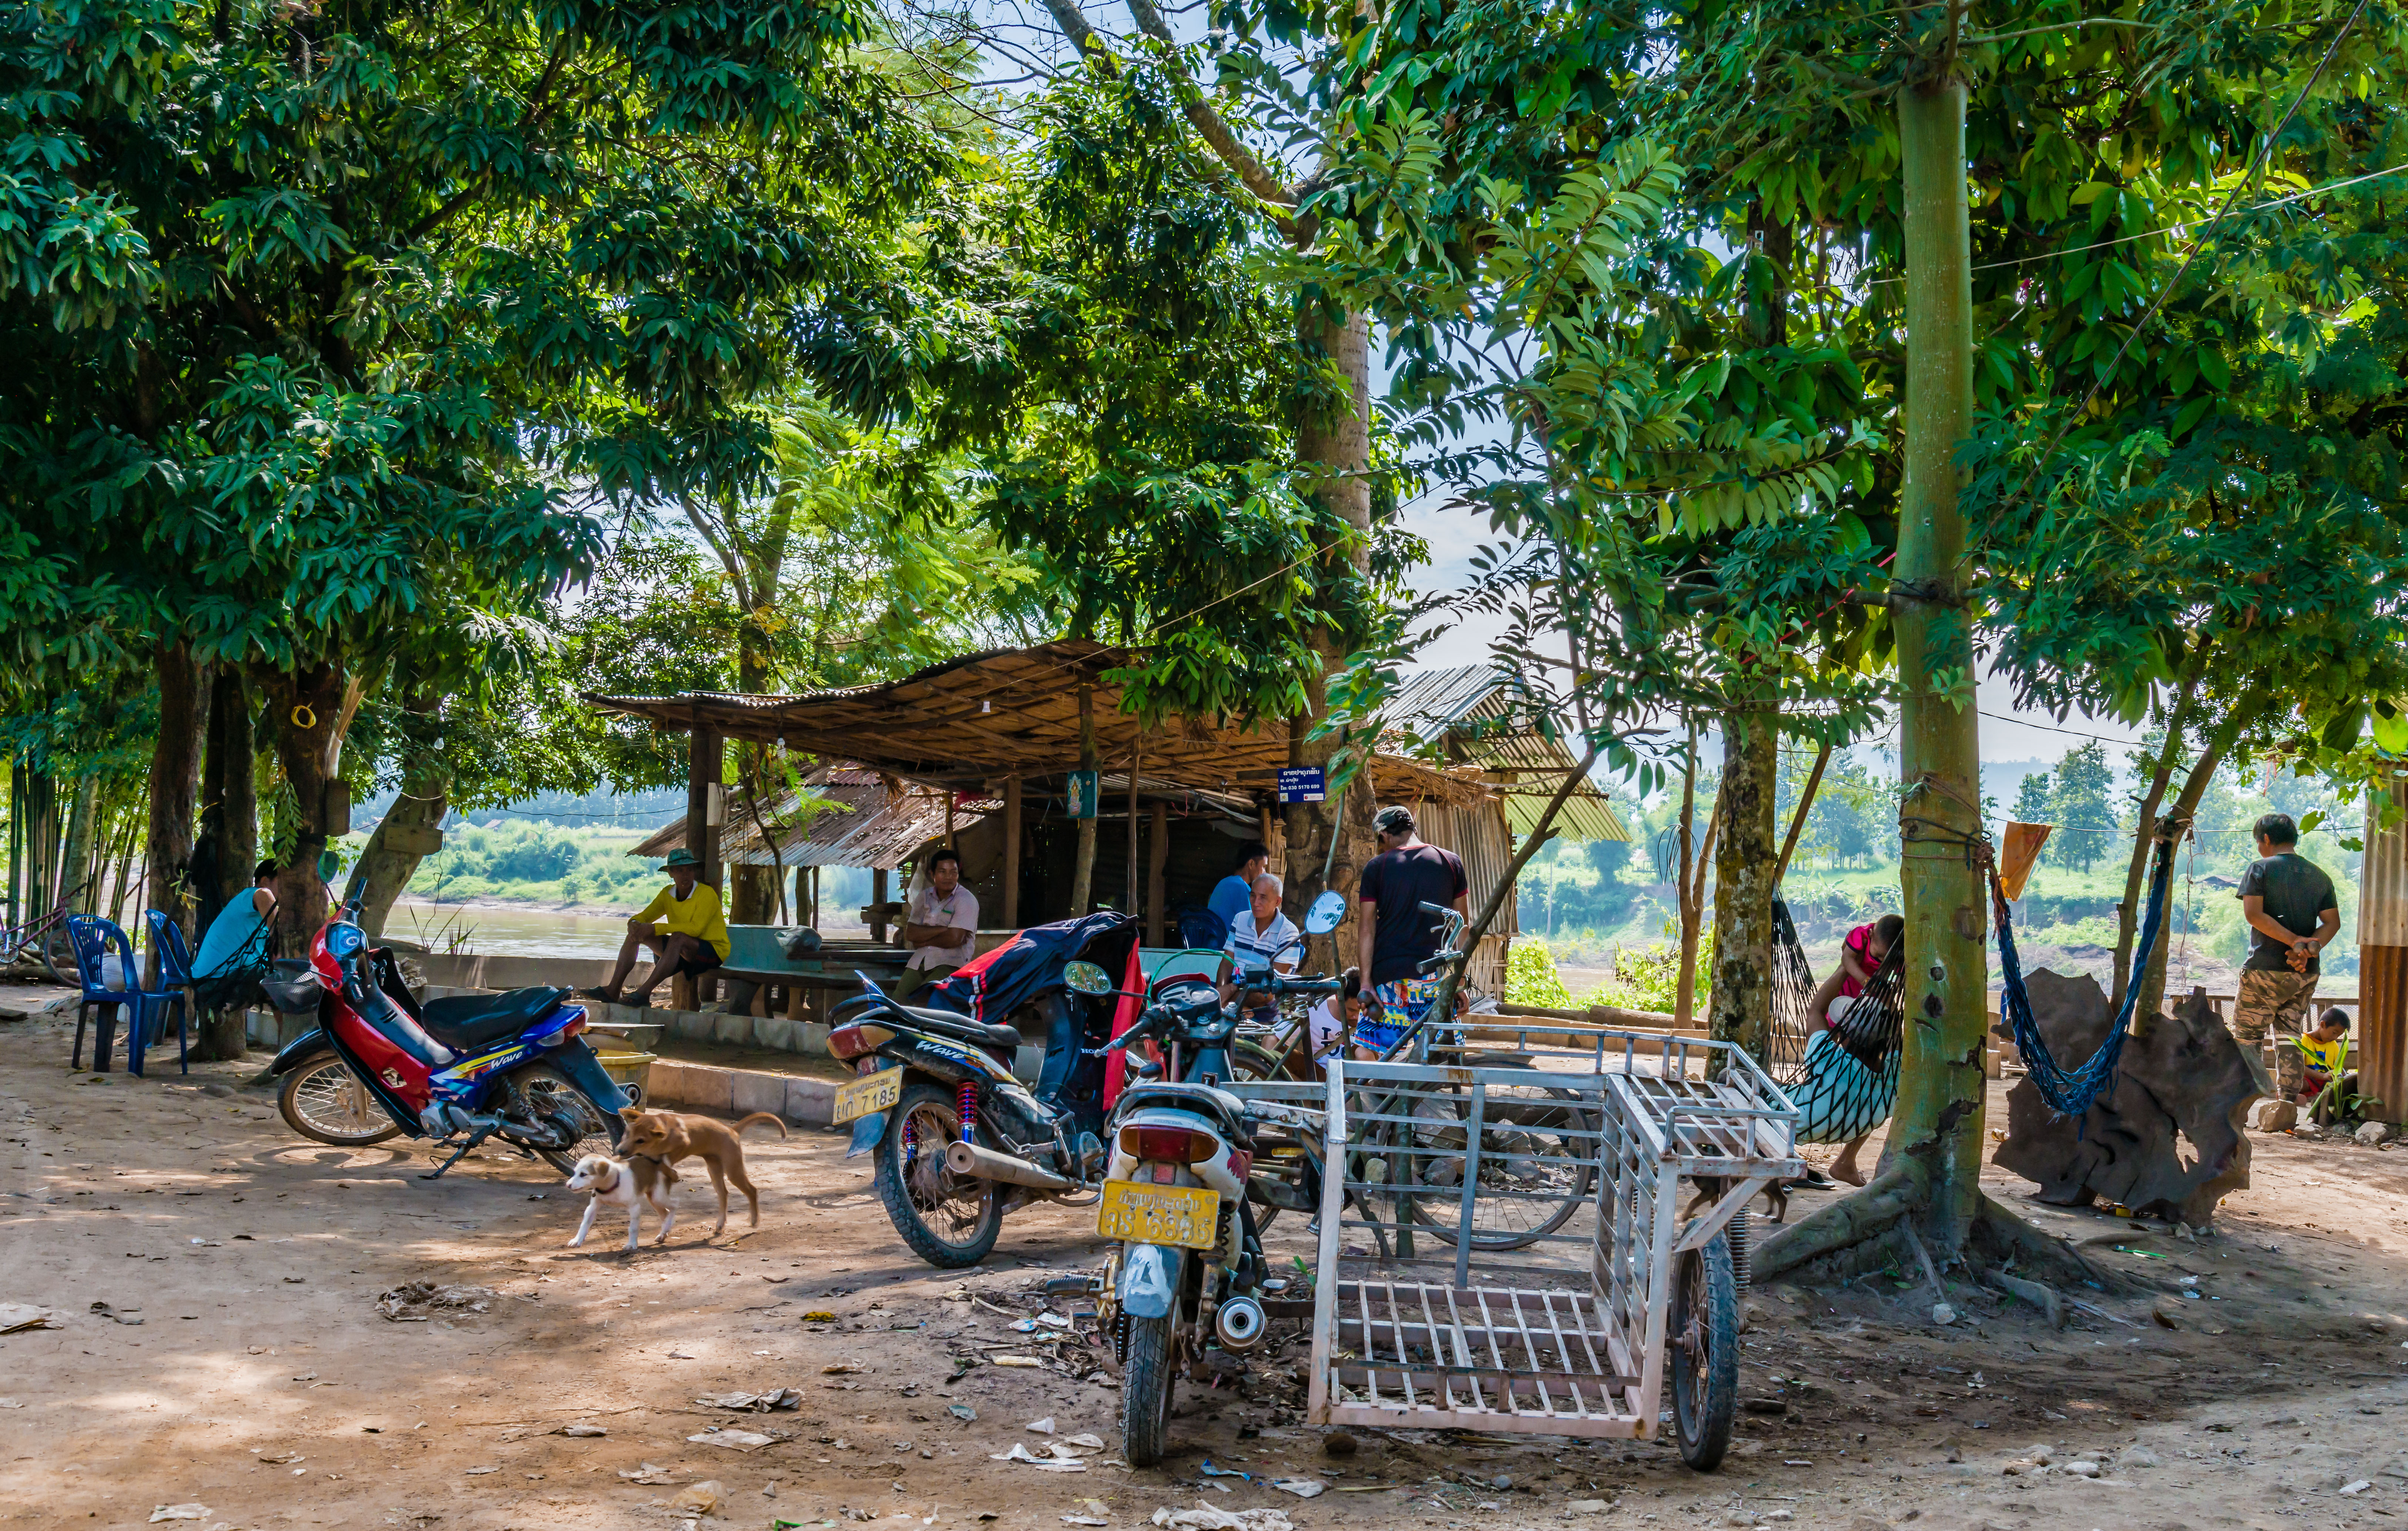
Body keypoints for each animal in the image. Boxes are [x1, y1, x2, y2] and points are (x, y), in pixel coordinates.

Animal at [563, 1155, 679, 1252]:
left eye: (583, 1174)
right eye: (575, 1173)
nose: (568, 1185)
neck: (612, 1185)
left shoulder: (635, 1208)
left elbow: (633, 1229)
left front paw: (631, 1245)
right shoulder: (593, 1207)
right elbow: (584, 1224)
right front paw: (577, 1240)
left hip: (658, 1197)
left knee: (675, 1205)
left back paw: (667, 1226)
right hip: (654, 1199)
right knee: (665, 1213)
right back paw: (664, 1233)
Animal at [616, 1107, 785, 1242]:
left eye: (641, 1140)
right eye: (627, 1133)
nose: (620, 1151)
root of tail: (733, 1131)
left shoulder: (684, 1144)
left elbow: (664, 1162)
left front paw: (673, 1174)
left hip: (733, 1170)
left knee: (752, 1190)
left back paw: (755, 1220)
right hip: (714, 1170)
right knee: (724, 1194)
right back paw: (720, 1225)